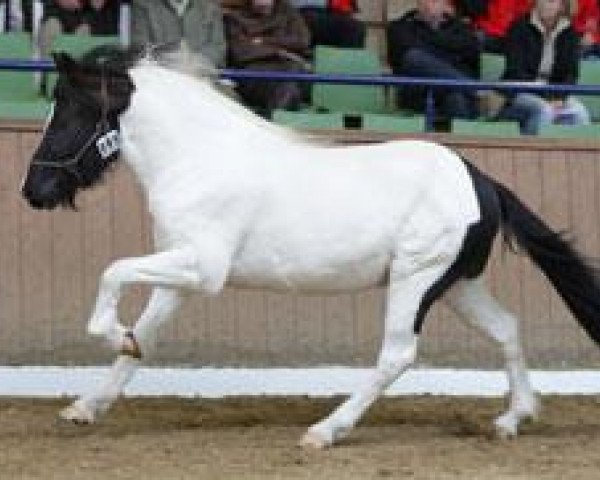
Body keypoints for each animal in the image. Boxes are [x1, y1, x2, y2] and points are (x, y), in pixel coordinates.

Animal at [21, 47, 600, 448]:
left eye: (70, 114)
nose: (34, 191)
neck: (199, 161)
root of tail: (482, 181)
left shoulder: (204, 269)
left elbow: (112, 271)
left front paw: (110, 336)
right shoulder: (180, 276)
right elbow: (142, 337)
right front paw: (87, 404)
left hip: (417, 278)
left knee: (397, 354)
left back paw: (325, 431)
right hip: (456, 284)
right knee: (507, 330)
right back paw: (512, 419)